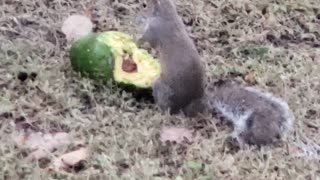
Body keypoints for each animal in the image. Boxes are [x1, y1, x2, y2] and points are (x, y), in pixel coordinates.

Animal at [134, 0, 294, 147]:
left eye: (144, 5)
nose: (136, 17)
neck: (167, 14)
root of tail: (196, 103)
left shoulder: (155, 30)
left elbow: (147, 39)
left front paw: (136, 40)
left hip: (162, 89)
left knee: (166, 107)